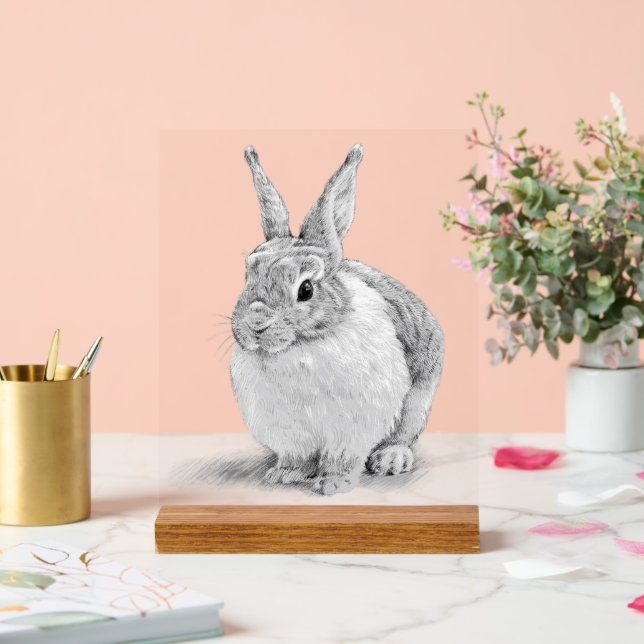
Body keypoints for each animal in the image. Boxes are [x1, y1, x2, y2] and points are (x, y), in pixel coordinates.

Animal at [230, 144, 444, 495]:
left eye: (305, 289)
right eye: (248, 276)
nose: (255, 325)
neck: (300, 348)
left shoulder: (353, 426)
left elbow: (341, 456)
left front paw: (333, 484)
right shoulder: (289, 432)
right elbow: (297, 455)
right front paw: (285, 474)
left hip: (417, 405)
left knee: (403, 436)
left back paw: (390, 460)